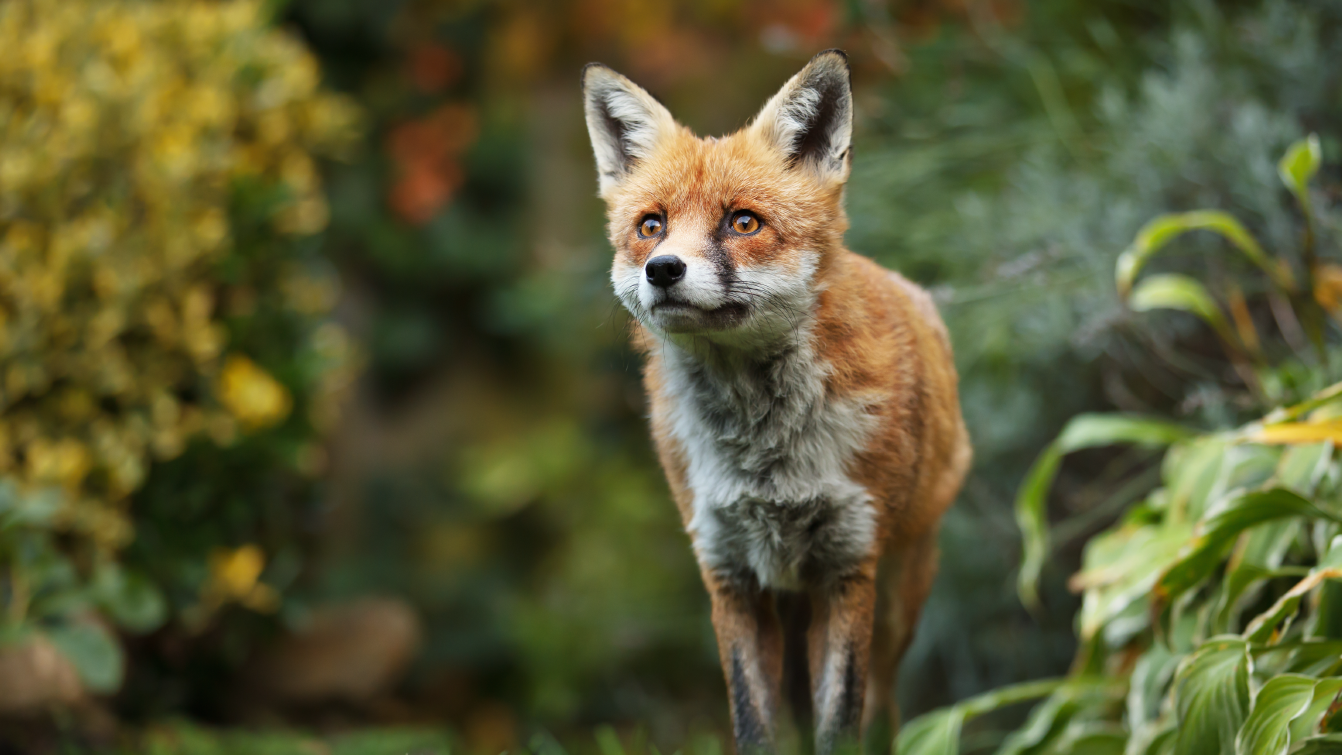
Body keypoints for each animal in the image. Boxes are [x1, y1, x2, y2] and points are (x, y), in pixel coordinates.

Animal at [582, 50, 971, 750]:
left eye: (743, 222)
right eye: (652, 226)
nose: (663, 269)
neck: (764, 462)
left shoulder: (848, 568)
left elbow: (840, 724)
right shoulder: (729, 575)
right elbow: (753, 726)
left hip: (896, 603)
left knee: (886, 707)